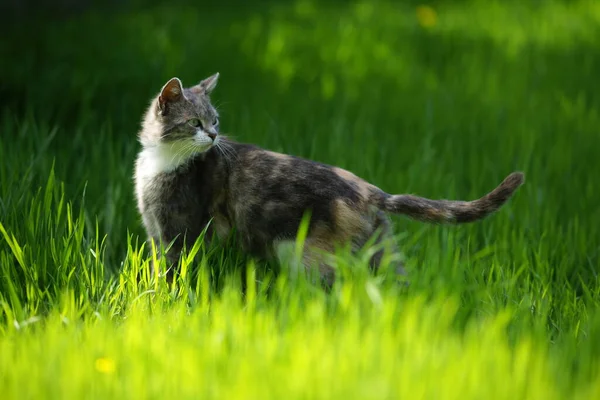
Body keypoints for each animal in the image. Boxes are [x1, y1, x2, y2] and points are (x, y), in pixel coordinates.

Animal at [132, 74, 524, 288]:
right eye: (195, 123)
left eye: (214, 121)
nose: (213, 137)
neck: (161, 161)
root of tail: (373, 191)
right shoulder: (156, 235)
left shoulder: (178, 234)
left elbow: (170, 275)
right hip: (380, 249)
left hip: (308, 256)